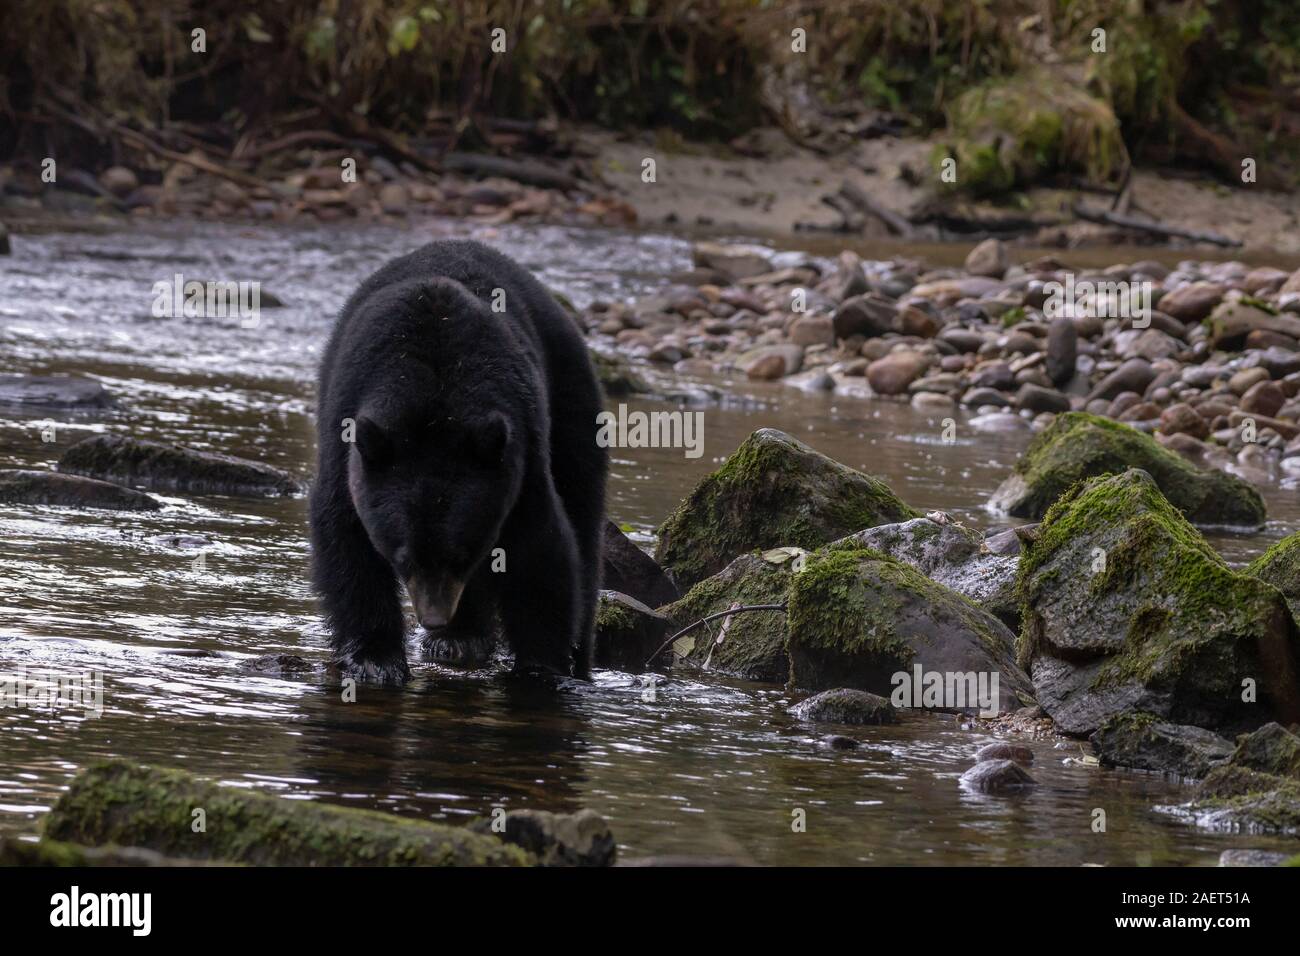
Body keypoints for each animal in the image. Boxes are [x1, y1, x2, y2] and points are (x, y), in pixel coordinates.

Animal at [310, 243, 608, 686]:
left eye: (462, 557)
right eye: (403, 559)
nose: (433, 618)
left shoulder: (521, 450)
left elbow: (541, 548)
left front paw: (542, 666)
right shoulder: (347, 432)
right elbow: (345, 537)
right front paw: (375, 659)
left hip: (571, 395)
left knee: (582, 512)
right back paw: (459, 638)